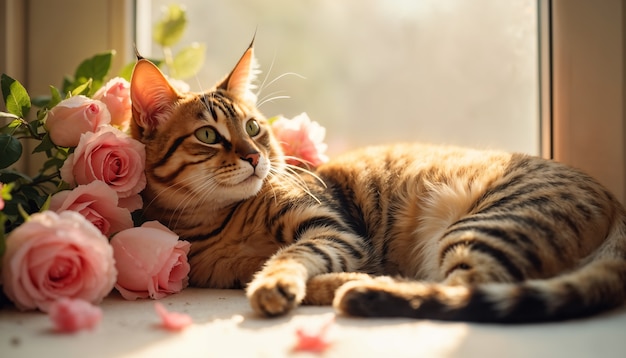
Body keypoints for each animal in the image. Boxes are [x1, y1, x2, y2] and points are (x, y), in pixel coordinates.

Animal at [128, 40, 624, 324]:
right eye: (209, 135)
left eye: (252, 128)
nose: (254, 157)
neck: (217, 223)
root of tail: (616, 202)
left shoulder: (332, 228)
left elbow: (292, 255)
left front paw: (279, 283)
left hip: (483, 226)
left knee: (462, 289)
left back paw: (356, 290)